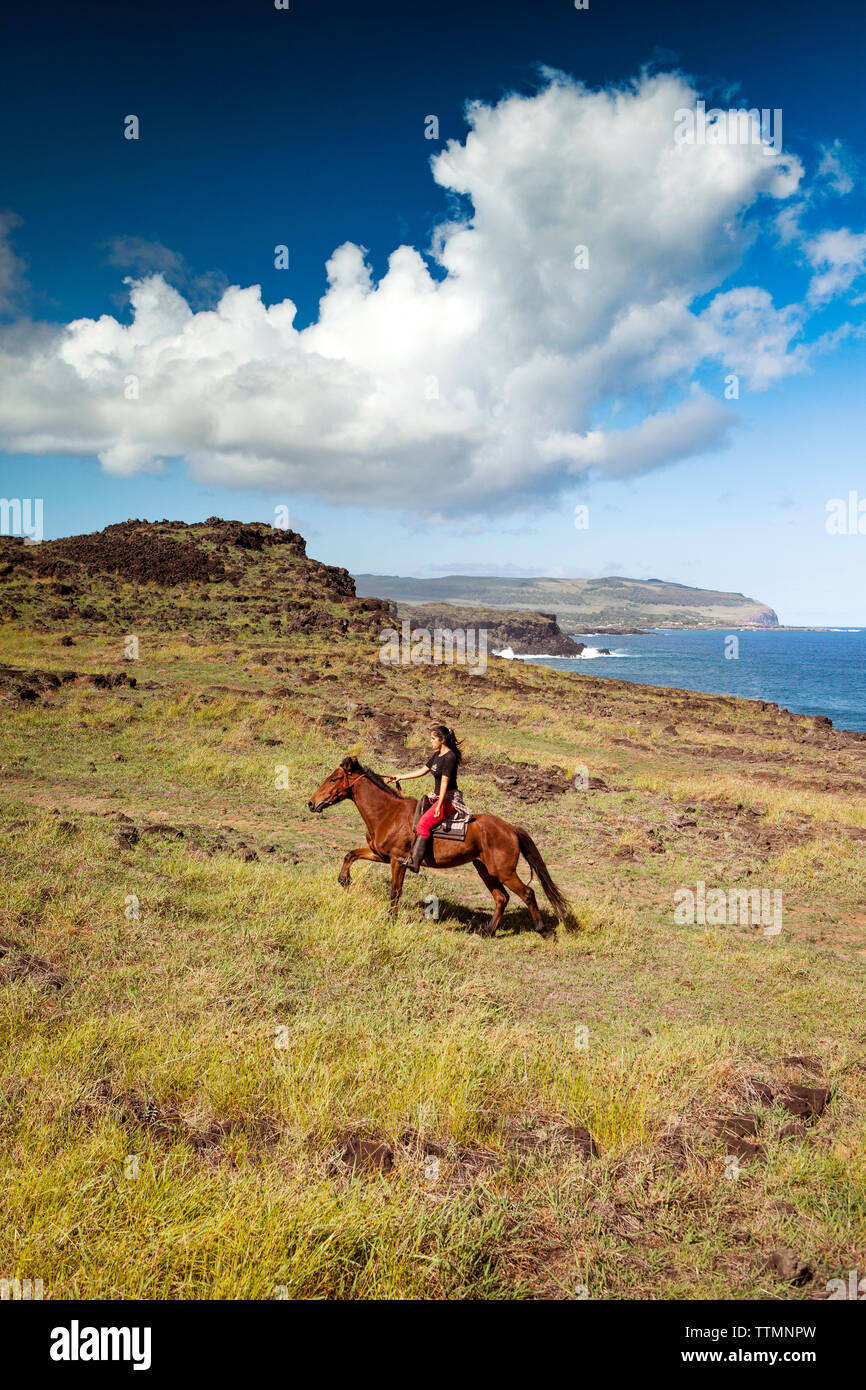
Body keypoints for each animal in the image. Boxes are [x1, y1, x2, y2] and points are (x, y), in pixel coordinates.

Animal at [307, 756, 569, 939]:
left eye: (333, 779)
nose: (311, 803)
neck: (387, 813)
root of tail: (511, 829)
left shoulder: (397, 861)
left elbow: (395, 891)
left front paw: (390, 920)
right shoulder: (381, 854)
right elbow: (350, 854)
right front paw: (344, 880)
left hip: (503, 871)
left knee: (527, 893)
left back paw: (544, 931)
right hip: (485, 870)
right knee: (501, 898)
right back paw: (487, 932)